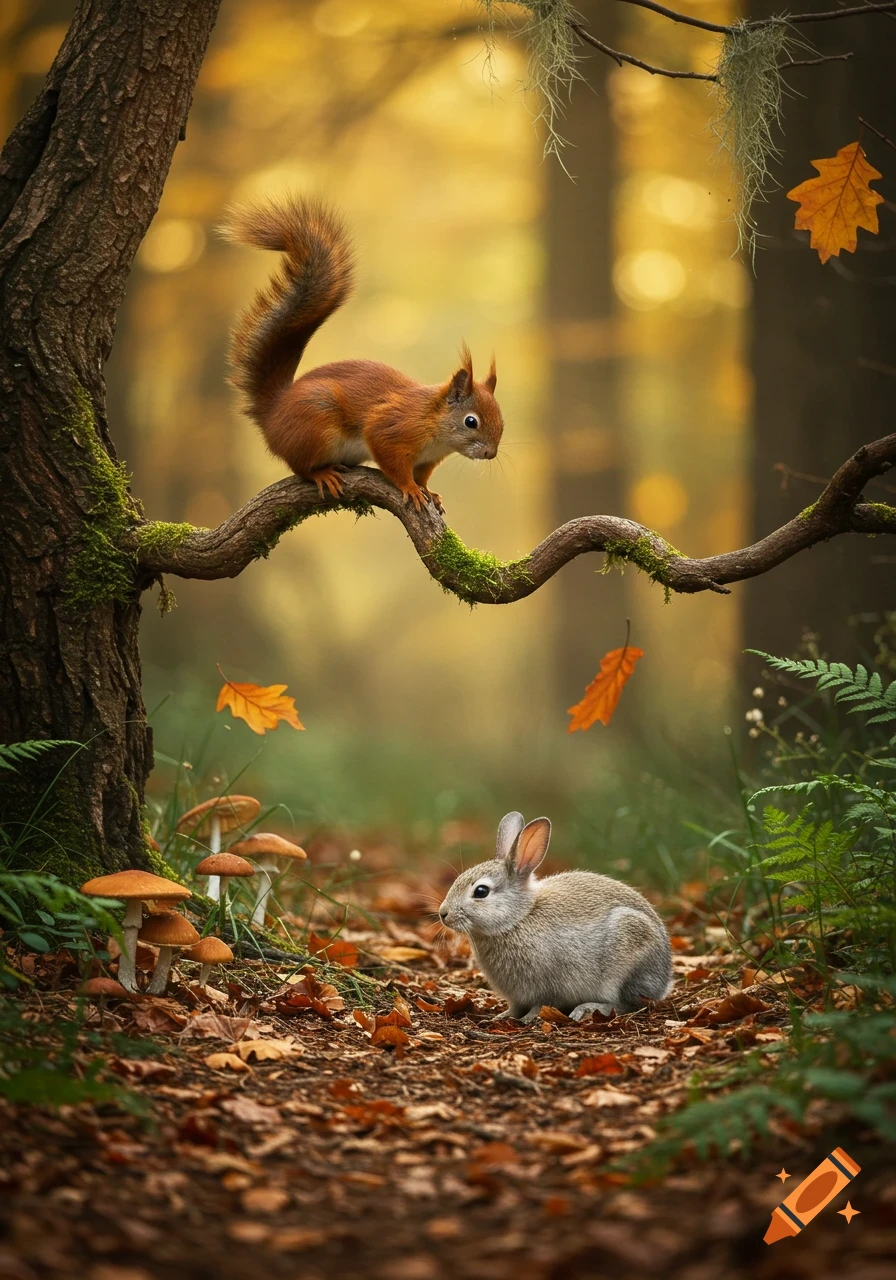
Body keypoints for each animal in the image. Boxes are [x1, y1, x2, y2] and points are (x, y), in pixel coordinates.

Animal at [221, 196, 504, 512]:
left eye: (501, 418)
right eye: (471, 421)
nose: (491, 453)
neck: (432, 421)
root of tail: (272, 413)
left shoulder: (428, 460)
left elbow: (423, 475)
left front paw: (429, 491)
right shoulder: (389, 428)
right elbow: (392, 463)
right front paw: (411, 489)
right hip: (314, 424)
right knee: (300, 467)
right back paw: (322, 473)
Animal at [438, 811, 673, 1022]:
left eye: (481, 891)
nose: (443, 914)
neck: (518, 918)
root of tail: (664, 980)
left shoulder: (548, 986)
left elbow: (541, 1004)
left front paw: (528, 1019)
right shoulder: (517, 996)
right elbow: (515, 1007)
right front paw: (502, 1016)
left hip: (627, 956)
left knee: (628, 1004)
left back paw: (586, 1010)